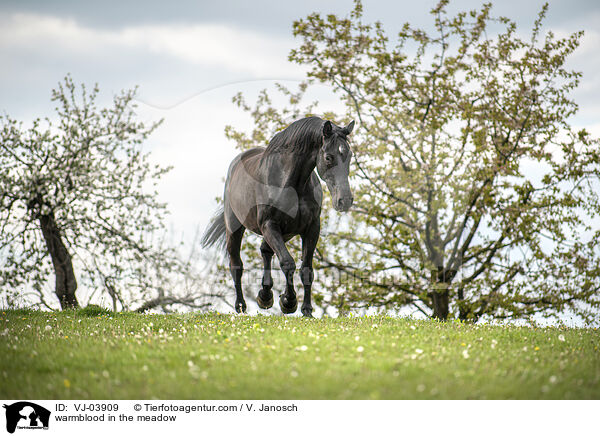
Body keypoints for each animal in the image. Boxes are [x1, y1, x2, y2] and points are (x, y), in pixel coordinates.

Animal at [202, 116, 354, 318]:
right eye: (329, 157)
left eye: (349, 156)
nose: (345, 200)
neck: (289, 183)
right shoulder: (269, 225)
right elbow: (288, 263)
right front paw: (288, 302)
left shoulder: (311, 229)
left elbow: (307, 269)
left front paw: (306, 310)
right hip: (235, 229)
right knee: (236, 265)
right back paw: (241, 305)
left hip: (286, 233)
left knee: (265, 250)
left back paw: (265, 295)